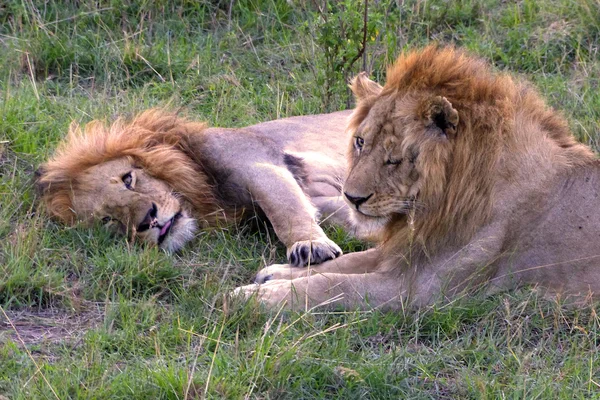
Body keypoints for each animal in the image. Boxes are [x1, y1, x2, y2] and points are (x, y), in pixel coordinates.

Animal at [38, 109, 366, 266]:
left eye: (128, 179)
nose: (148, 221)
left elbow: (284, 210)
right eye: (108, 220)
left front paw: (309, 246)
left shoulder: (259, 162)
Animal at [237, 45, 600, 310]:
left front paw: (253, 299)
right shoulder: (404, 251)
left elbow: (334, 285)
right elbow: (348, 260)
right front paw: (276, 274)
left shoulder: (417, 290)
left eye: (395, 158)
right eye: (360, 142)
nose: (351, 198)